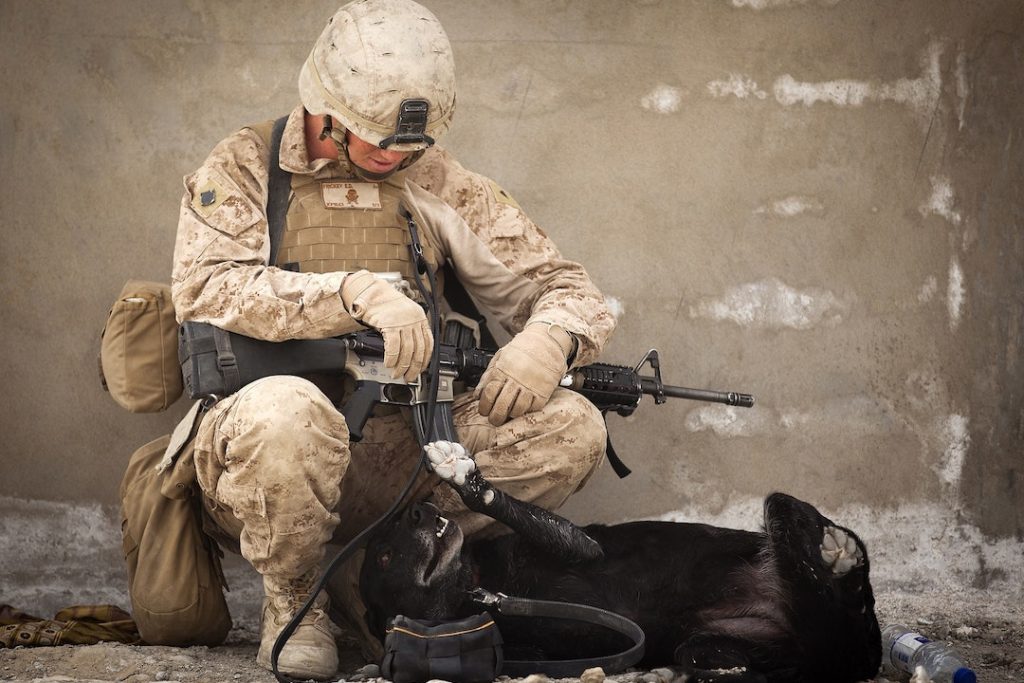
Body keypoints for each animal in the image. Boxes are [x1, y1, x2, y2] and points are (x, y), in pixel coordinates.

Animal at [358, 444, 880, 683]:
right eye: (384, 556)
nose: (418, 510)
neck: (477, 587)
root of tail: (855, 654)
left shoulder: (581, 547)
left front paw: (464, 476)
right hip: (709, 646)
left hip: (781, 513)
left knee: (845, 584)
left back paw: (839, 554)